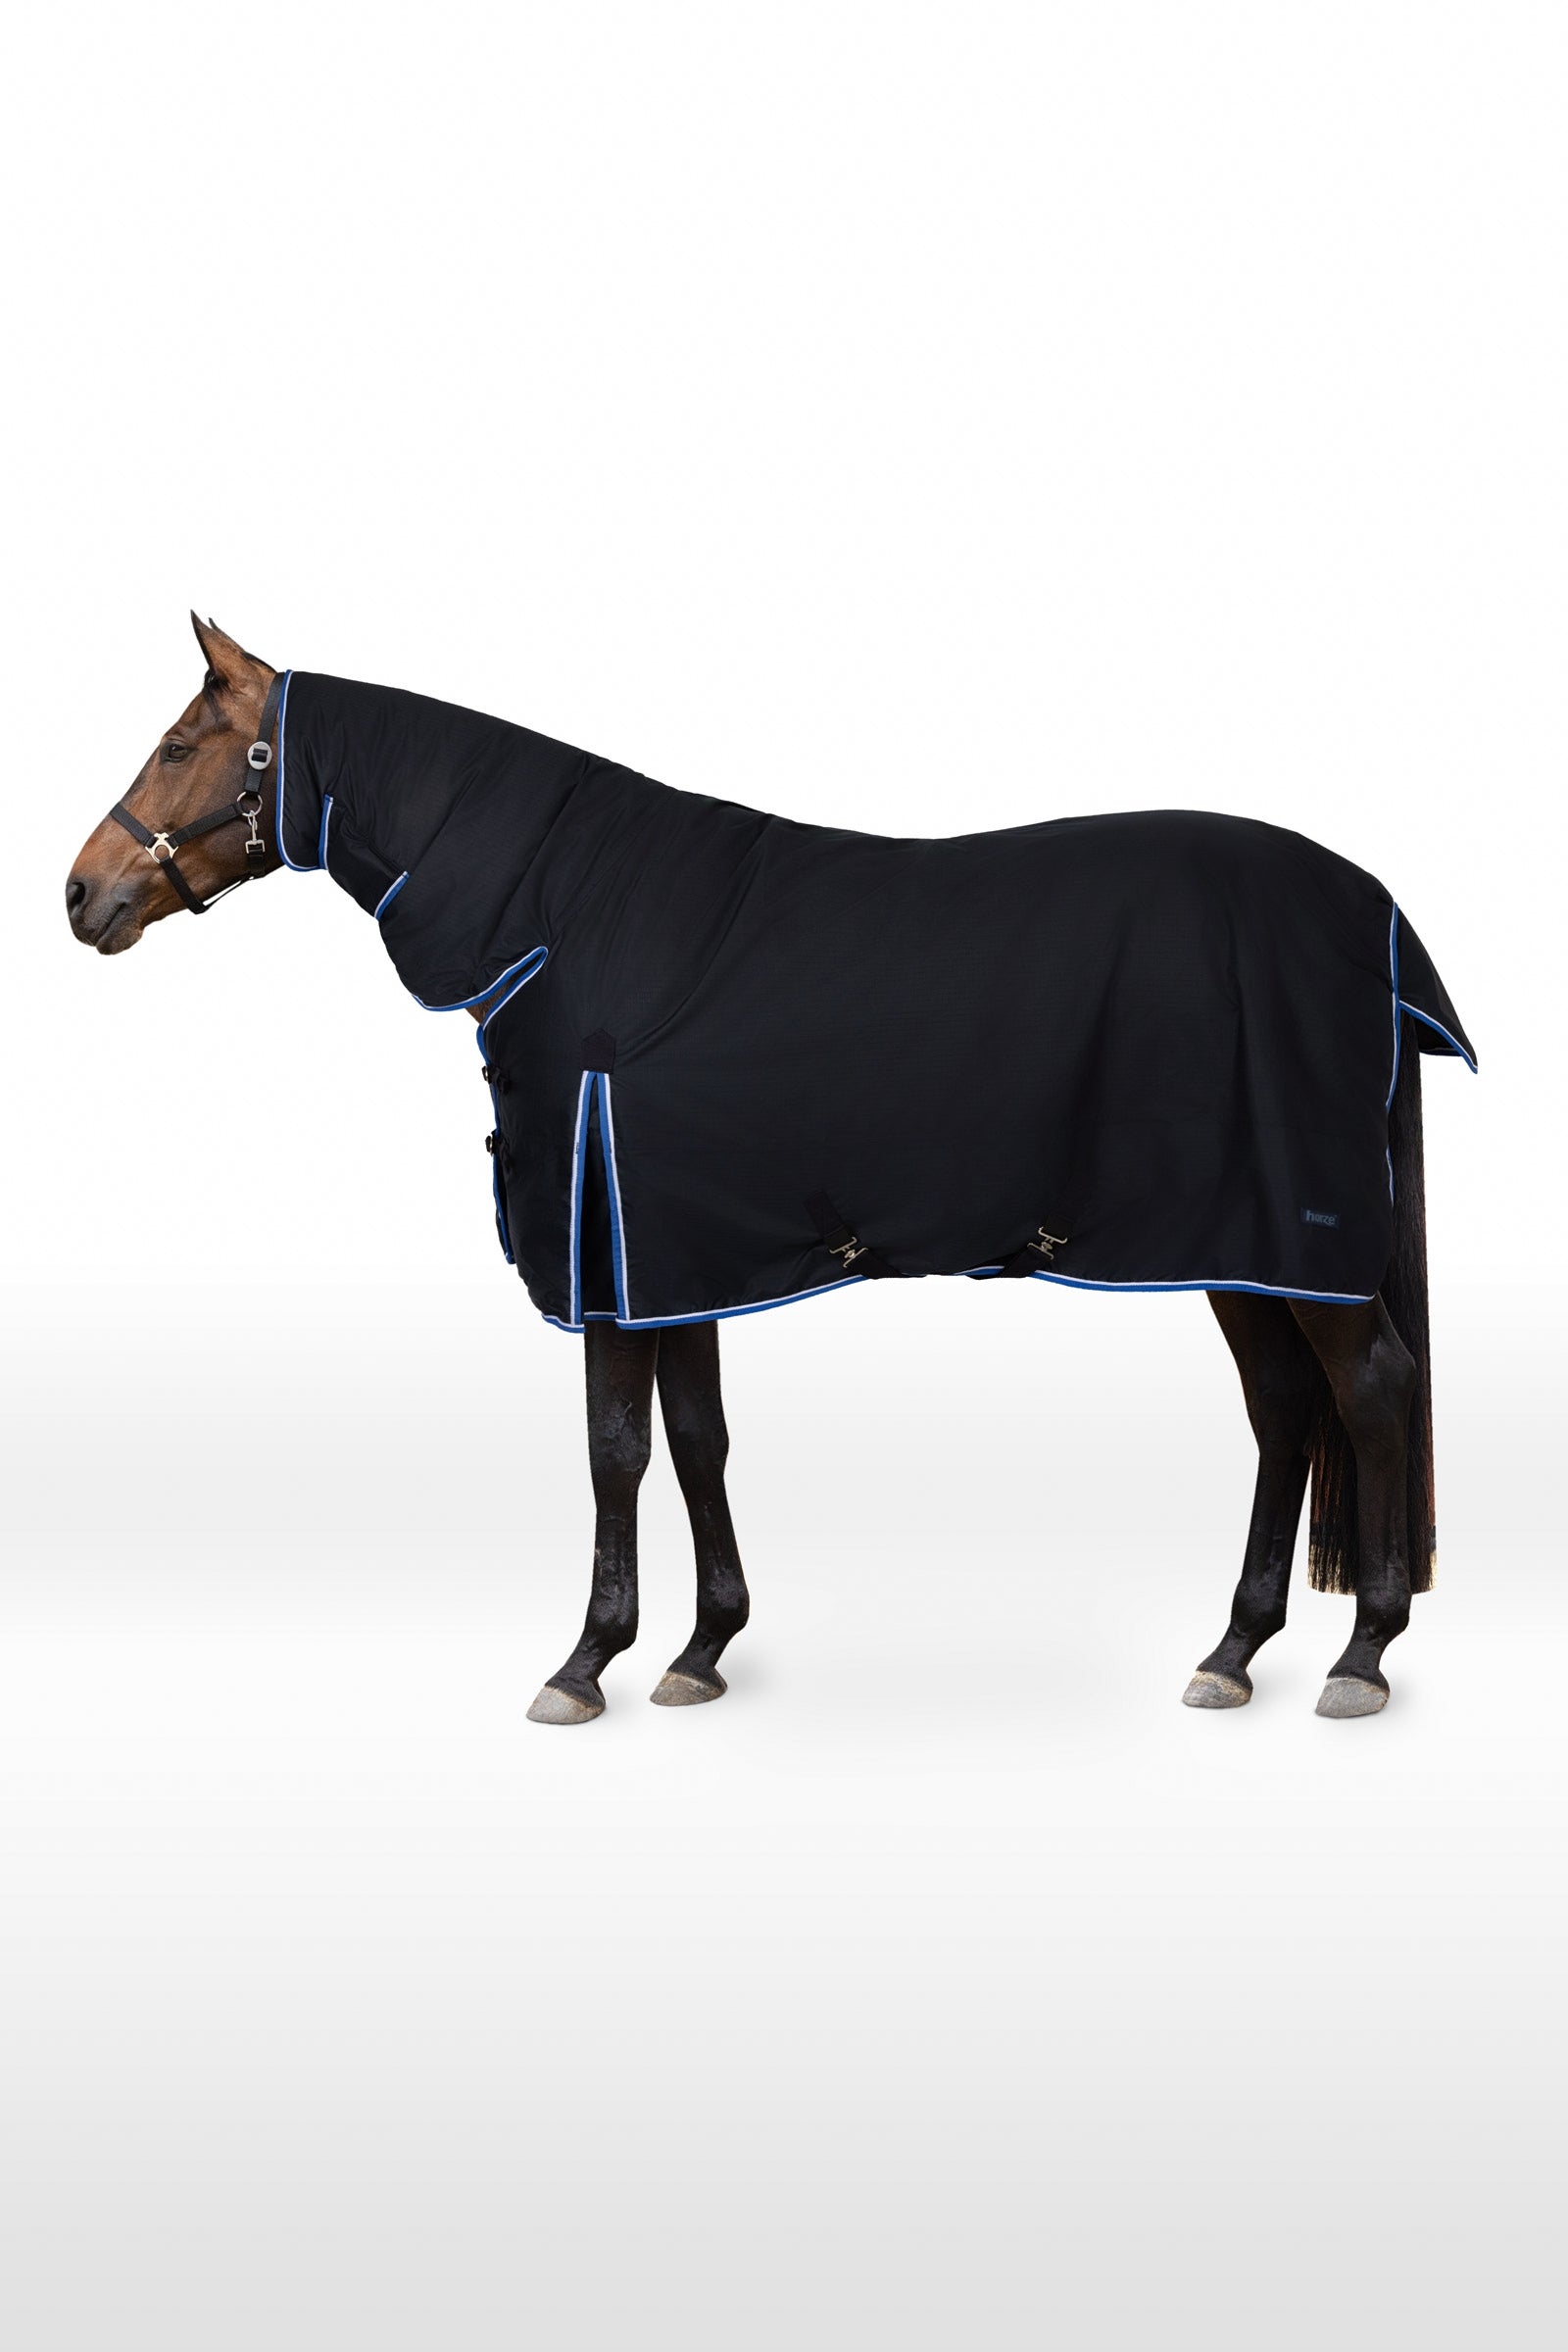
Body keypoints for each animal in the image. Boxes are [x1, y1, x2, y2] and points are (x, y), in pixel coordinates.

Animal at [66, 616, 1475, 1724]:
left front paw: (586, 1662)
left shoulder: (609, 1253)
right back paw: (1234, 1650)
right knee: (1284, 1410)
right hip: (1244, 1244)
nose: (82, 895)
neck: (562, 917)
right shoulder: (665, 1252)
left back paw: (1362, 1653)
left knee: (1370, 1392)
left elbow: (616, 1449)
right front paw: (701, 1649)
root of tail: (1374, 916)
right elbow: (697, 1438)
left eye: (182, 746)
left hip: (1299, 1249)